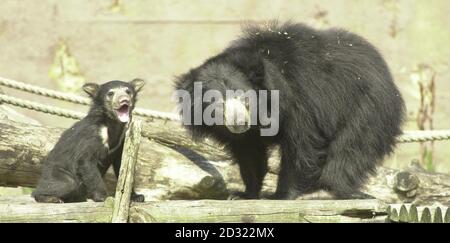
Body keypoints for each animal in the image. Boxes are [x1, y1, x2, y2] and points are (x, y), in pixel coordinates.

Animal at [174, 21, 406, 199]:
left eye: (244, 97)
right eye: (216, 103)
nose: (239, 123)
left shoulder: (300, 100)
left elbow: (301, 145)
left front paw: (281, 195)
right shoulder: (245, 135)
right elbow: (249, 153)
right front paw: (244, 194)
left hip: (366, 105)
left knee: (352, 147)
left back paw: (337, 190)